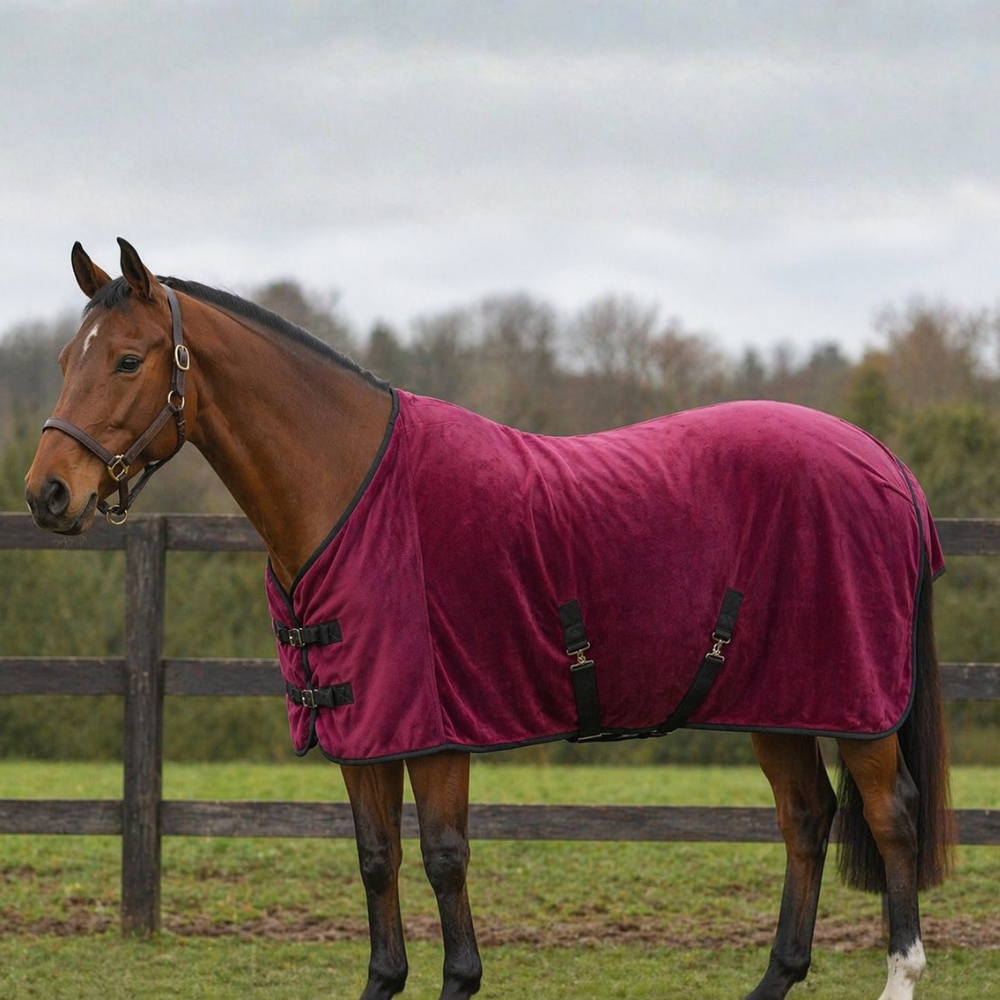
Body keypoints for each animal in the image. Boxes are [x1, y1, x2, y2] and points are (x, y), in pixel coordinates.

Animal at [24, 239, 953, 1000]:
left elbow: (443, 858)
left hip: (859, 706)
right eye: (68, 356)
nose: (48, 493)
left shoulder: (435, 728)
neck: (350, 489)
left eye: (129, 359)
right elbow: (377, 860)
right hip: (776, 701)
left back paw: (900, 975)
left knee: (891, 816)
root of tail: (884, 461)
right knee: (806, 818)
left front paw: (460, 979)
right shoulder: (363, 732)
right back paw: (775, 978)